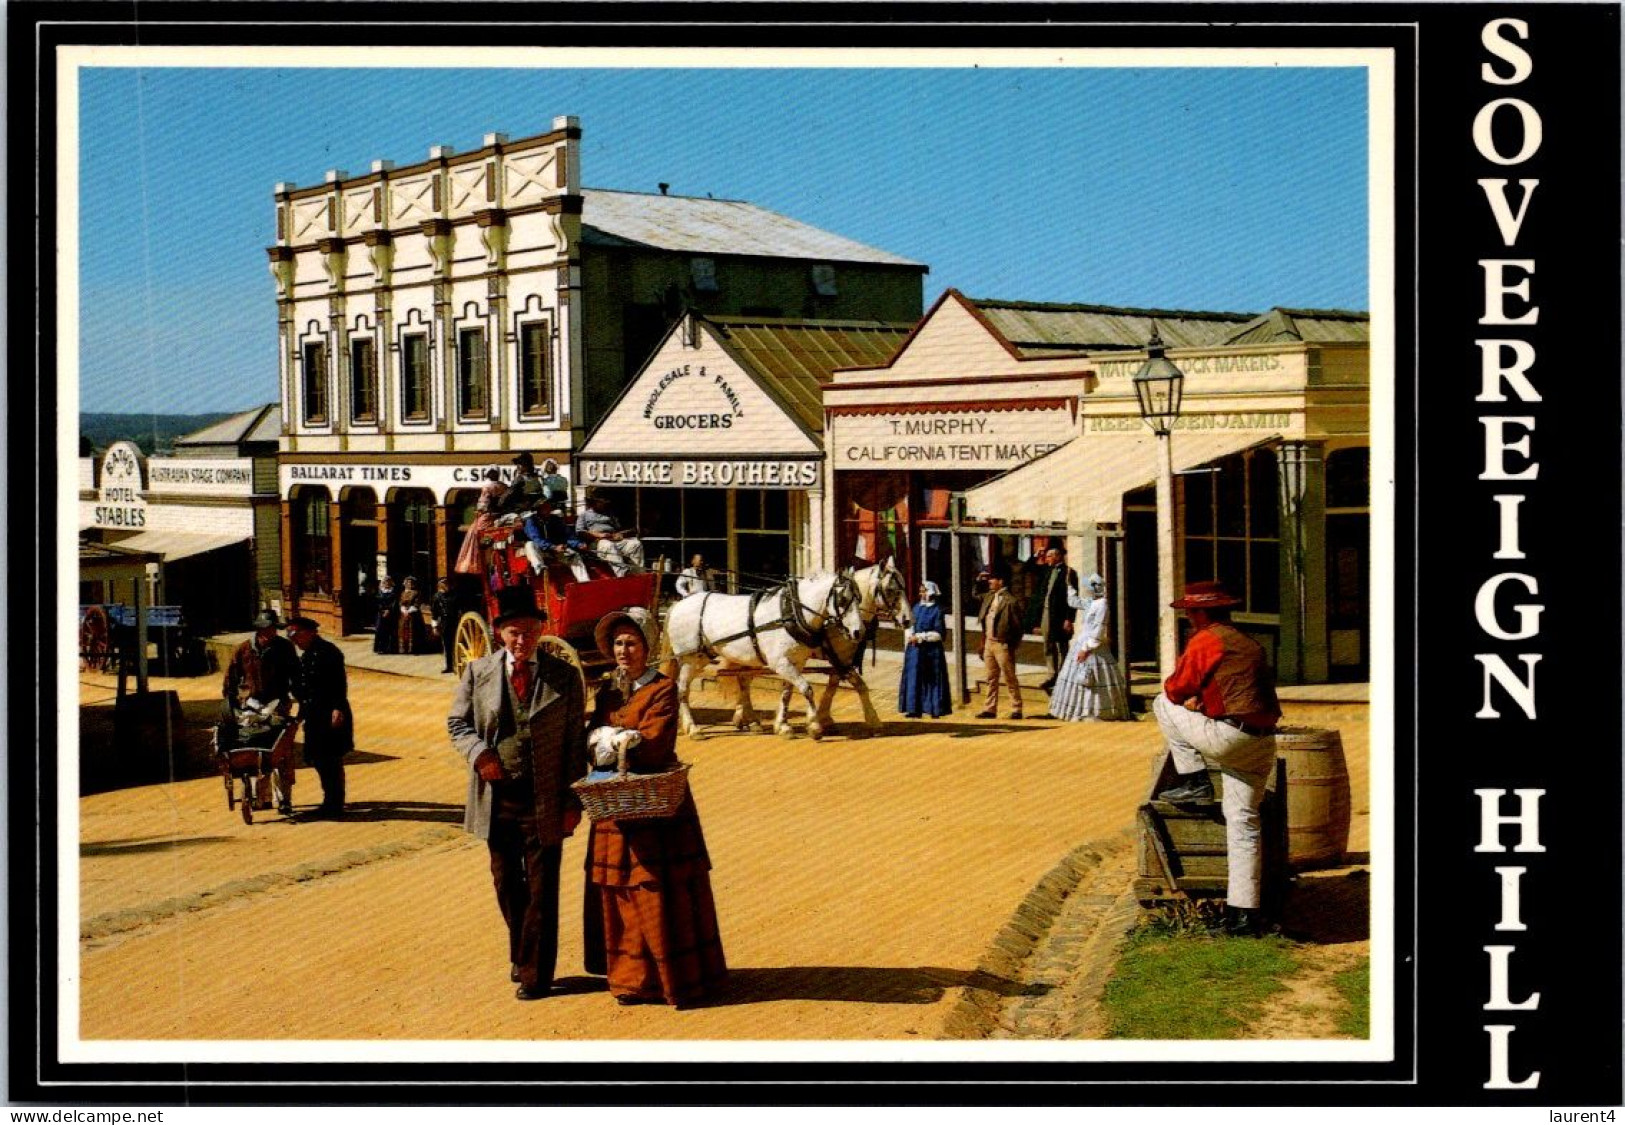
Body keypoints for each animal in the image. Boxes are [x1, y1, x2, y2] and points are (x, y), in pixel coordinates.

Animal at [663, 572, 864, 738]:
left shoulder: (795, 663)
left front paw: (783, 726)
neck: (790, 612)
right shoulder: (780, 663)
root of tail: (679, 604)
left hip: (703, 657)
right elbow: (807, 689)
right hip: (690, 660)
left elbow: (787, 693)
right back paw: (693, 728)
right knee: (682, 690)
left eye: (859, 598)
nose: (858, 632)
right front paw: (814, 727)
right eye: (843, 599)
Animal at [741, 555, 916, 738]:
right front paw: (872, 720)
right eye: (890, 589)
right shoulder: (840, 658)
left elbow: (836, 685)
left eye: (904, 586)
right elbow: (857, 685)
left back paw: (745, 718)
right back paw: (751, 720)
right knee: (744, 679)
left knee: (742, 678)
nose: (908, 620)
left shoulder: (841, 660)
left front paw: (824, 718)